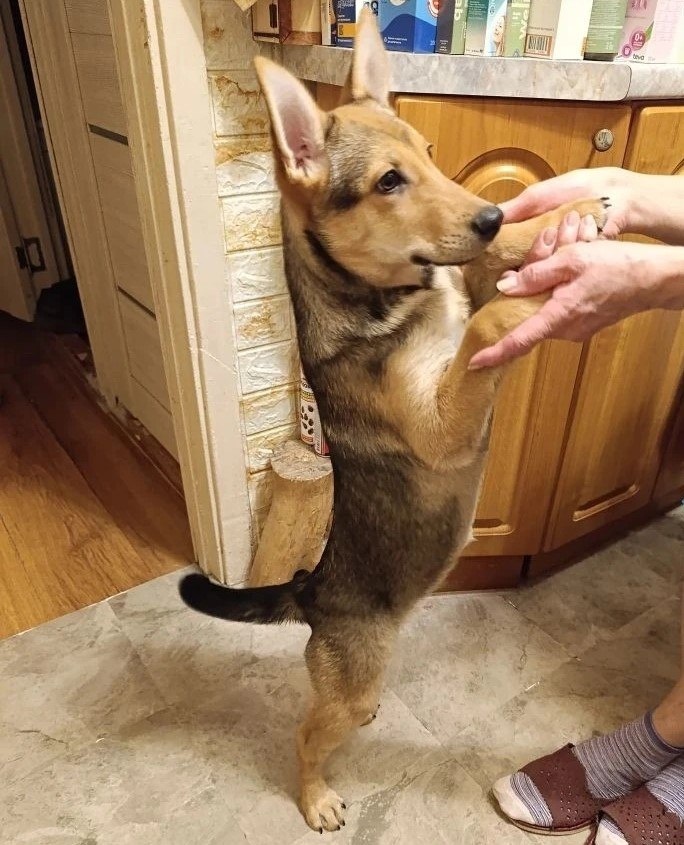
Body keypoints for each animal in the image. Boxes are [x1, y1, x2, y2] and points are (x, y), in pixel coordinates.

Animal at [179, 10, 607, 832]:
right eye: (388, 182)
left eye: (432, 157)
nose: (488, 211)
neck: (386, 297)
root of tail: (310, 592)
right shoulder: (442, 423)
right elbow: (484, 328)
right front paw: (535, 287)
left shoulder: (464, 275)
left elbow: (489, 267)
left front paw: (564, 214)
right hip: (353, 682)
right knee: (307, 732)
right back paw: (315, 798)